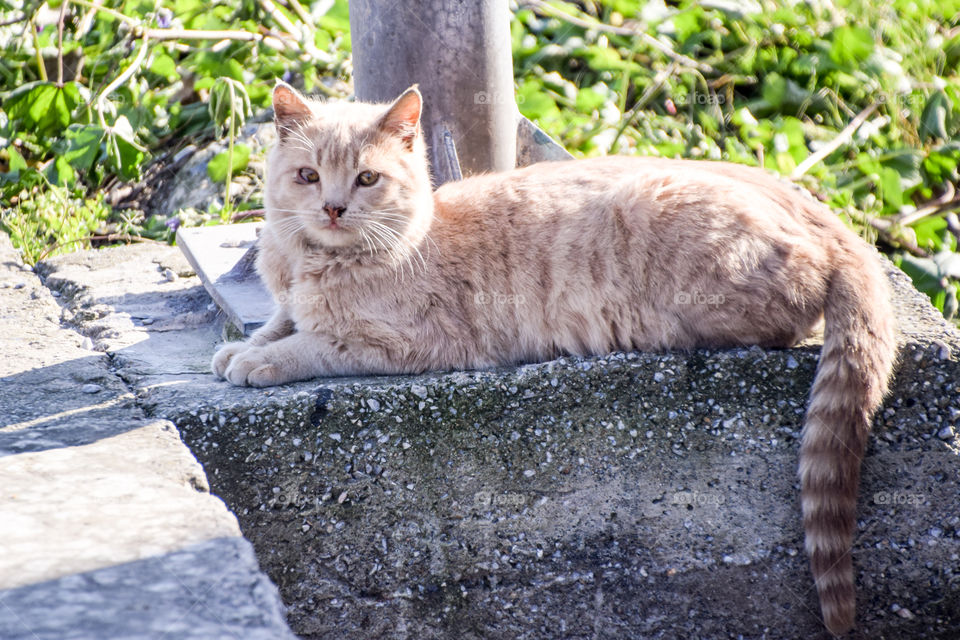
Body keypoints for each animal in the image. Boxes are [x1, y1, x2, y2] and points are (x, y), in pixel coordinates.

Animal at [212, 81, 900, 636]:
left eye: (366, 179)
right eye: (308, 176)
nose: (333, 207)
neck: (315, 263)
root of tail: (828, 221)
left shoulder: (410, 343)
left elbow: (315, 341)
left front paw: (261, 360)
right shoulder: (295, 297)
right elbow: (280, 319)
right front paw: (244, 345)